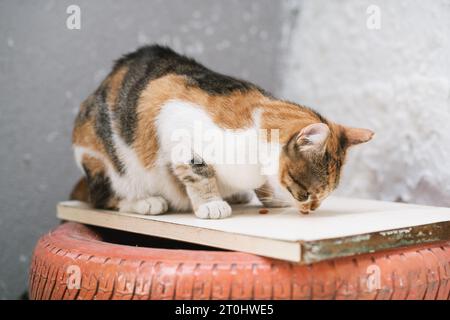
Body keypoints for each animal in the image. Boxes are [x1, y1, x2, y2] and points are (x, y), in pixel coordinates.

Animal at [70, 45, 372, 219]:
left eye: (324, 195)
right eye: (307, 193)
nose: (312, 209)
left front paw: (269, 197)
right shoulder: (172, 119)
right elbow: (199, 172)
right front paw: (211, 204)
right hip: (105, 163)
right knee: (101, 199)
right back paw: (146, 202)